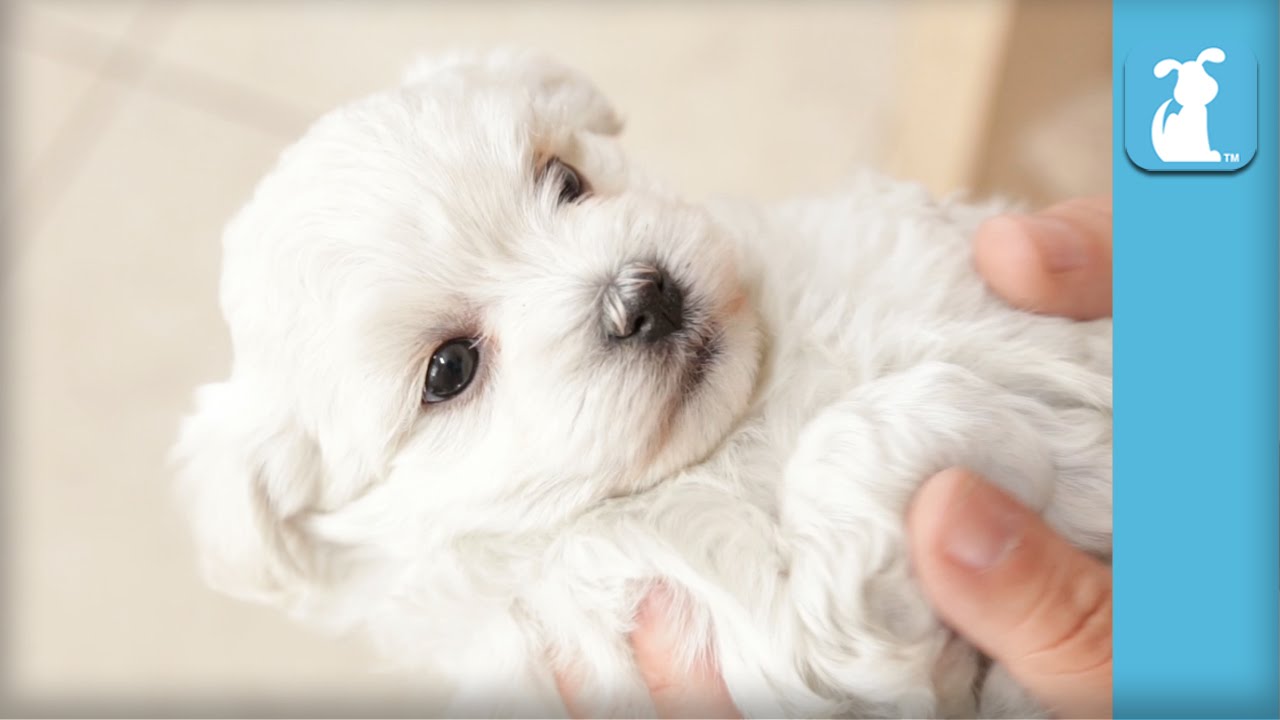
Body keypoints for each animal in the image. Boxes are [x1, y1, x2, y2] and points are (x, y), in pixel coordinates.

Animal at [172, 47, 1111, 712]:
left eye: (566, 181)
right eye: (449, 369)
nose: (642, 297)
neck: (737, 428)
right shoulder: (754, 634)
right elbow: (850, 465)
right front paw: (968, 442)